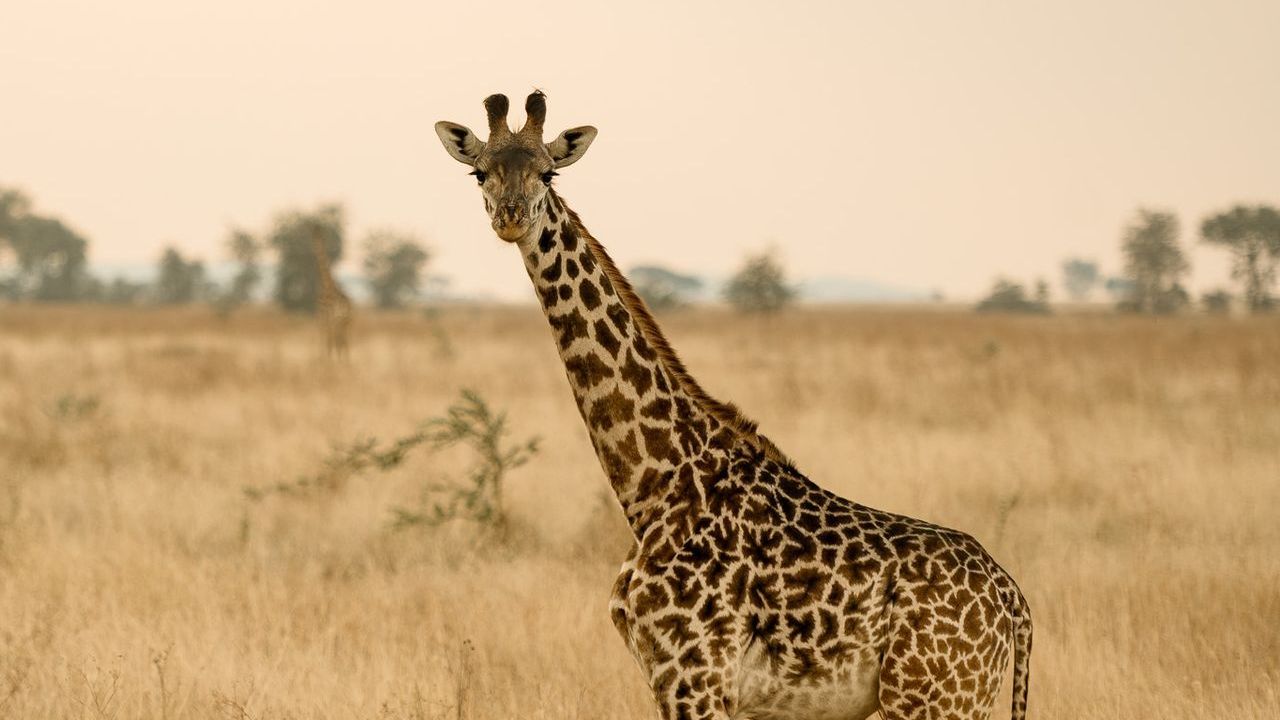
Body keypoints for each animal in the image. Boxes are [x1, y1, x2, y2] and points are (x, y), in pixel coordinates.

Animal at [310, 224, 352, 361]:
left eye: (317, 235)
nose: (314, 244)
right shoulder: (325, 318)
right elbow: (329, 340)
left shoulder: (323, 316)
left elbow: (327, 340)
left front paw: (324, 360)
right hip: (345, 322)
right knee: (343, 341)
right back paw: (345, 361)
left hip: (337, 321)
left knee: (337, 341)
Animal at [433, 92, 1032, 720]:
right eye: (480, 172)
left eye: (548, 172)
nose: (510, 218)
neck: (653, 485)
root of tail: (1014, 602)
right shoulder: (679, 681)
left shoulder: (693, 678)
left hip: (933, 698)